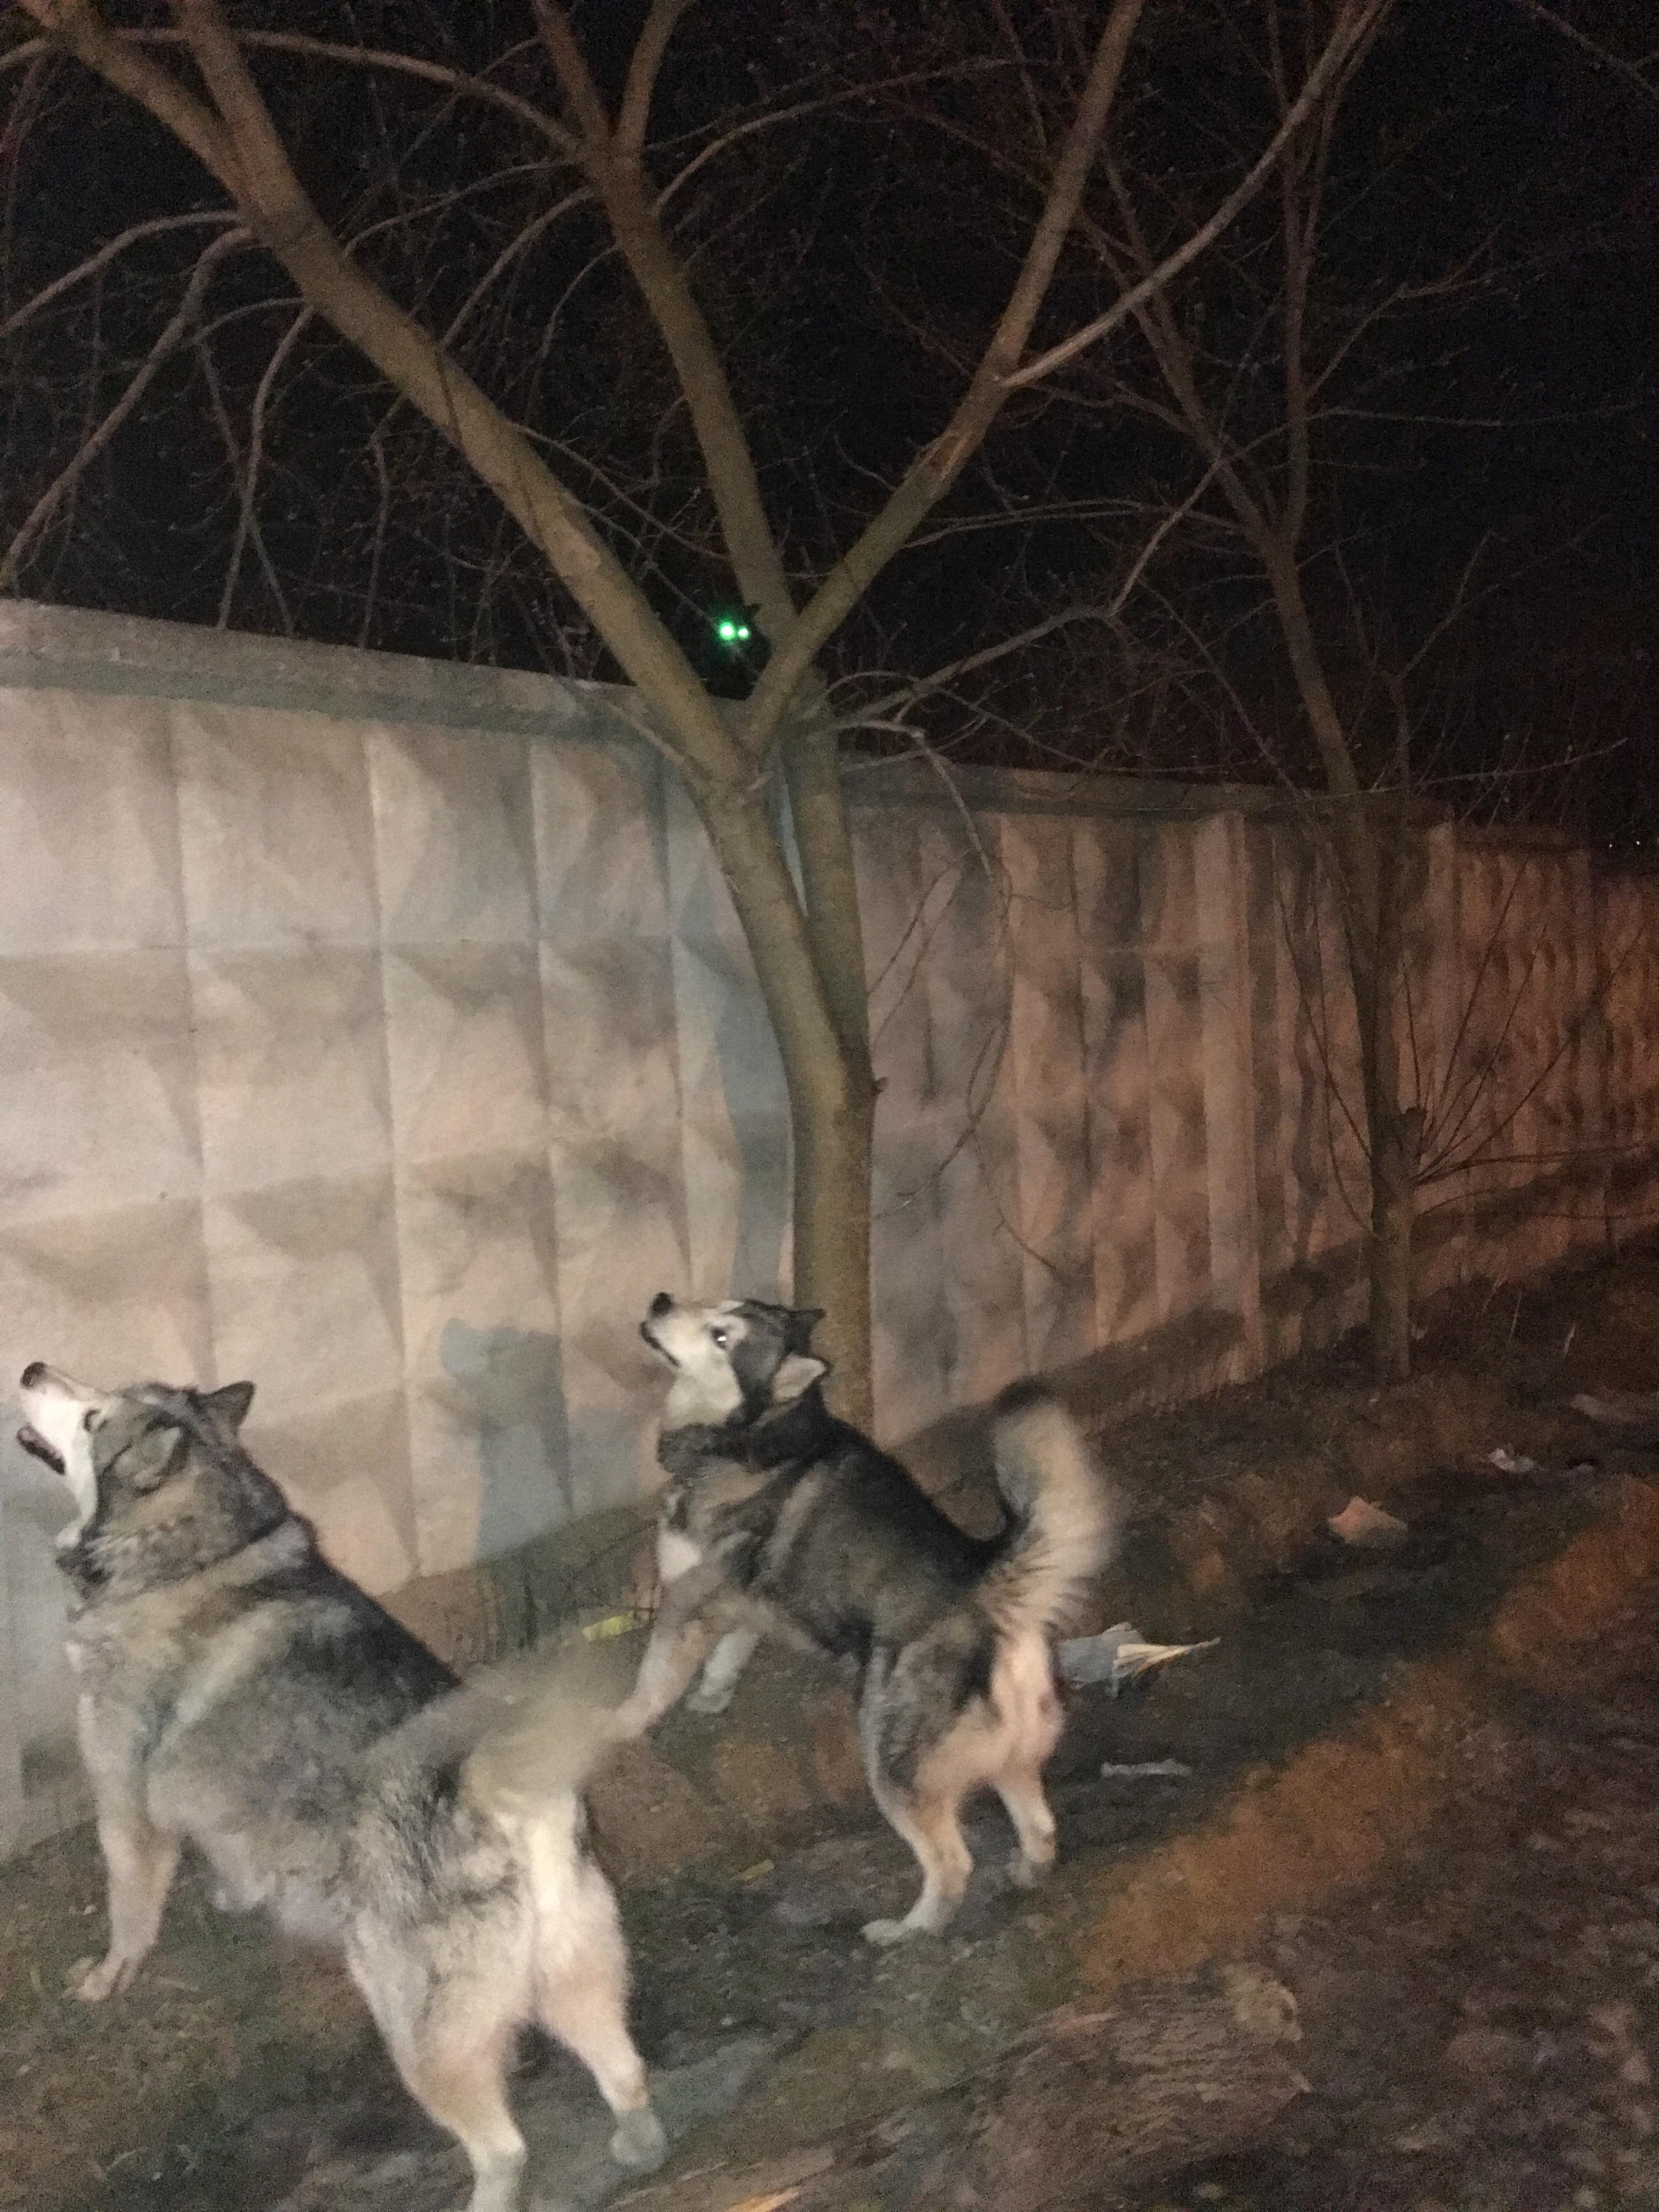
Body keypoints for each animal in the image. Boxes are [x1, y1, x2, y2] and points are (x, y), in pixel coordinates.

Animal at [15, 1362, 666, 2212]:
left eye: (93, 1416)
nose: (31, 1369)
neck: (192, 1546)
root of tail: (500, 1800)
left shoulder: (127, 1803)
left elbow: (129, 1910)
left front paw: (107, 1977)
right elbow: (232, 1854)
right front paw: (234, 1894)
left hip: (423, 2039)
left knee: (505, 2148)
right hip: (577, 1981)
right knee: (628, 2076)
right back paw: (636, 2143)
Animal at [617, 1296, 1118, 1945]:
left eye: (721, 1335)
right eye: (711, 1307)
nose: (660, 1301)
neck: (751, 1432)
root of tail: (988, 1591)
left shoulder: (686, 1598)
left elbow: (654, 1678)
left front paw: (619, 1723)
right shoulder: (741, 1600)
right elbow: (729, 1653)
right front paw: (711, 1695)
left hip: (892, 1764)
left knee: (952, 1862)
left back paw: (910, 1930)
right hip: (1011, 1755)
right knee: (1040, 1825)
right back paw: (1027, 1872)